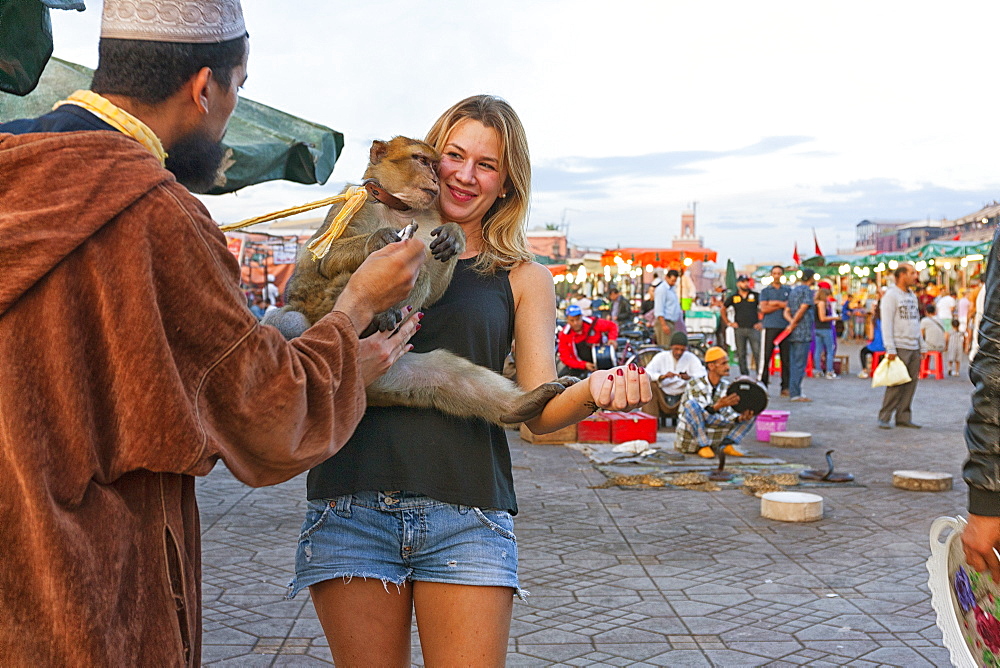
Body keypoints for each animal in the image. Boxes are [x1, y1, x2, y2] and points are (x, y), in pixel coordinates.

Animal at [264, 138, 580, 426]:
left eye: (436, 165)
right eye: (421, 160)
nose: (434, 178)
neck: (399, 208)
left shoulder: (430, 219)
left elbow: (434, 289)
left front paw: (455, 235)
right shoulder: (357, 202)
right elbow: (326, 260)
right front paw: (381, 239)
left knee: (446, 370)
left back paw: (522, 404)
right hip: (326, 308)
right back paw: (377, 318)